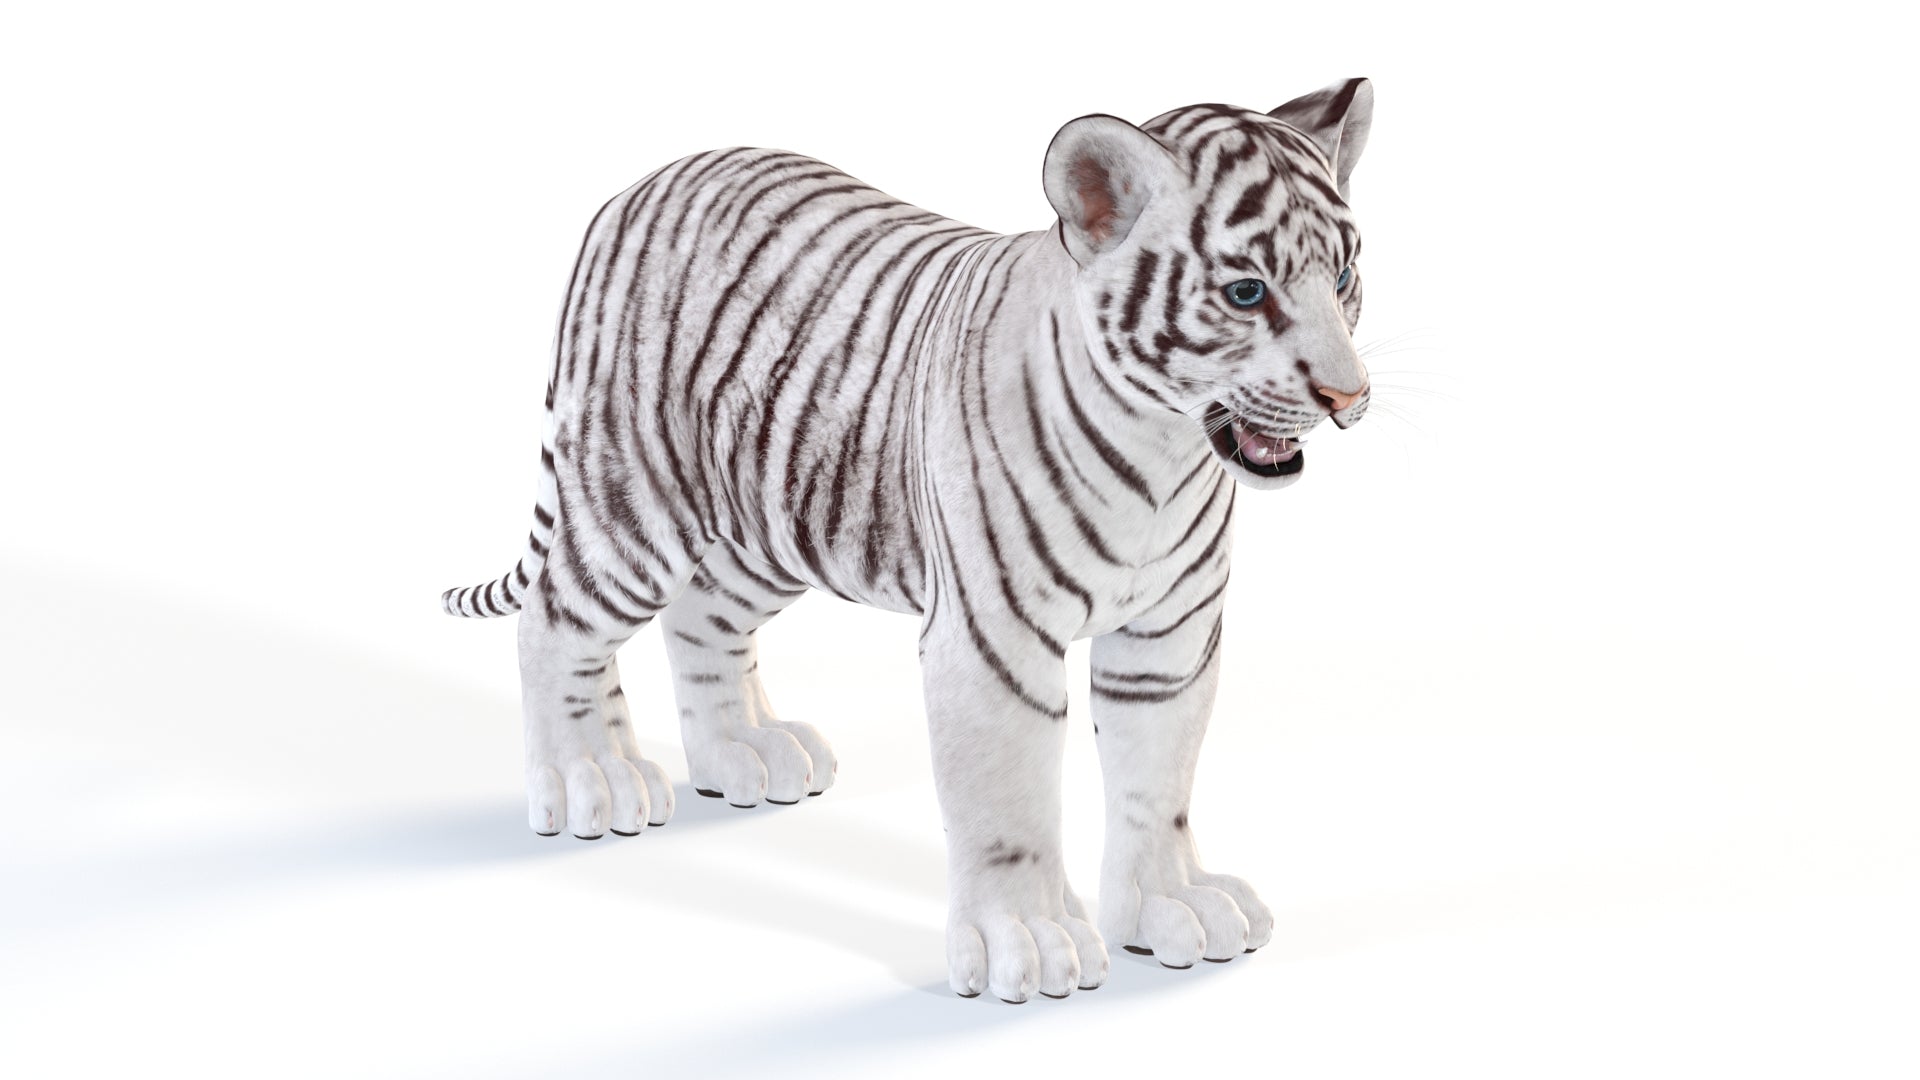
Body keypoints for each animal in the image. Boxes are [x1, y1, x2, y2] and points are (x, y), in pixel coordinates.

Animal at [442, 77, 1376, 1003]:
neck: (1165, 453)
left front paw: (1171, 905)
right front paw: (1027, 942)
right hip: (634, 502)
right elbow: (1006, 801)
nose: (1348, 395)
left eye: (1342, 274)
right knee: (556, 622)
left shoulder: (1168, 641)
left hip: (771, 524)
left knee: (699, 619)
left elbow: (1158, 783)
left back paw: (744, 752)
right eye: (1247, 293)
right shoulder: (994, 643)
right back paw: (591, 780)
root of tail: (643, 184)